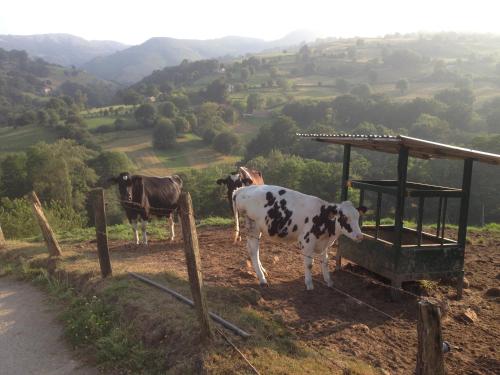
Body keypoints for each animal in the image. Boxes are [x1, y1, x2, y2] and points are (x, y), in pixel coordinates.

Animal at [232, 185, 366, 290]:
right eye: (344, 217)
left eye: (358, 217)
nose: (360, 236)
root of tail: (241, 189)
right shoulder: (306, 241)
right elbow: (309, 264)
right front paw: (309, 284)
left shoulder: (324, 244)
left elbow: (325, 261)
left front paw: (328, 281)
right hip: (253, 225)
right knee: (254, 251)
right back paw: (262, 279)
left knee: (252, 249)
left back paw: (263, 271)